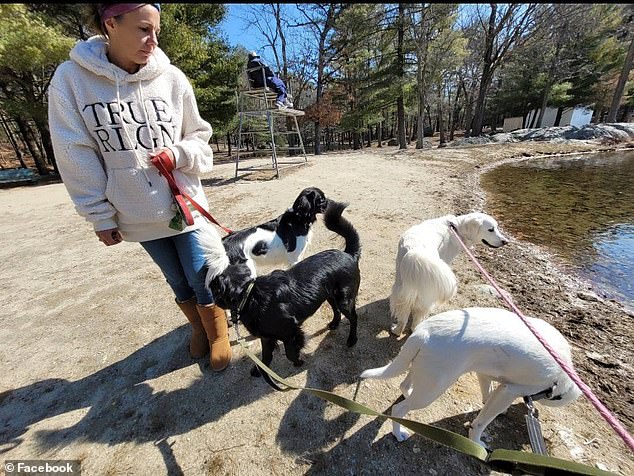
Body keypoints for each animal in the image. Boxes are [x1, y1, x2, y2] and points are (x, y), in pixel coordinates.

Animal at [204, 199, 360, 382]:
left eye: (211, 284)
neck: (249, 295)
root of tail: (349, 254)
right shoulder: (266, 337)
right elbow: (265, 357)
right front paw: (260, 371)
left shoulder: (290, 332)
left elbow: (290, 353)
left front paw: (299, 362)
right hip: (329, 295)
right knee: (336, 310)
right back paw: (334, 324)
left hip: (344, 299)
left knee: (353, 317)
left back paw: (352, 339)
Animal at [358, 306, 580, 448]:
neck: (564, 374)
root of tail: (422, 332)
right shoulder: (511, 390)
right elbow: (481, 422)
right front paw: (476, 441)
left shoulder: (486, 375)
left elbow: (488, 397)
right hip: (432, 390)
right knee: (398, 409)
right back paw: (398, 434)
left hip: (423, 372)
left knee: (405, 386)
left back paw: (407, 392)